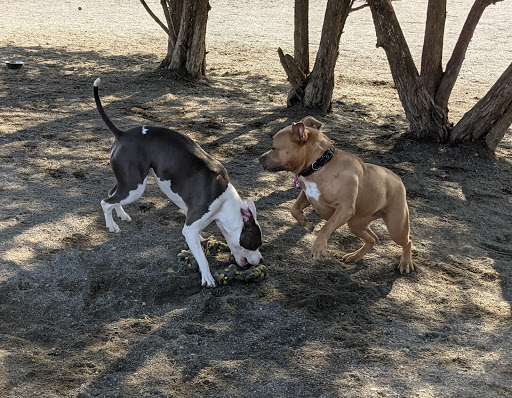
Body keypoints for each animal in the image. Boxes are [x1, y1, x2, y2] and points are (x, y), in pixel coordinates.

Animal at [258, 116, 414, 274]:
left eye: (273, 148)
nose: (259, 158)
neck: (319, 165)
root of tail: (398, 178)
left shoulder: (344, 209)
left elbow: (326, 226)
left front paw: (318, 247)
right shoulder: (307, 194)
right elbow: (294, 209)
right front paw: (307, 224)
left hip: (396, 228)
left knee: (408, 240)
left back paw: (405, 263)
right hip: (356, 224)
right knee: (373, 239)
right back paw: (355, 256)